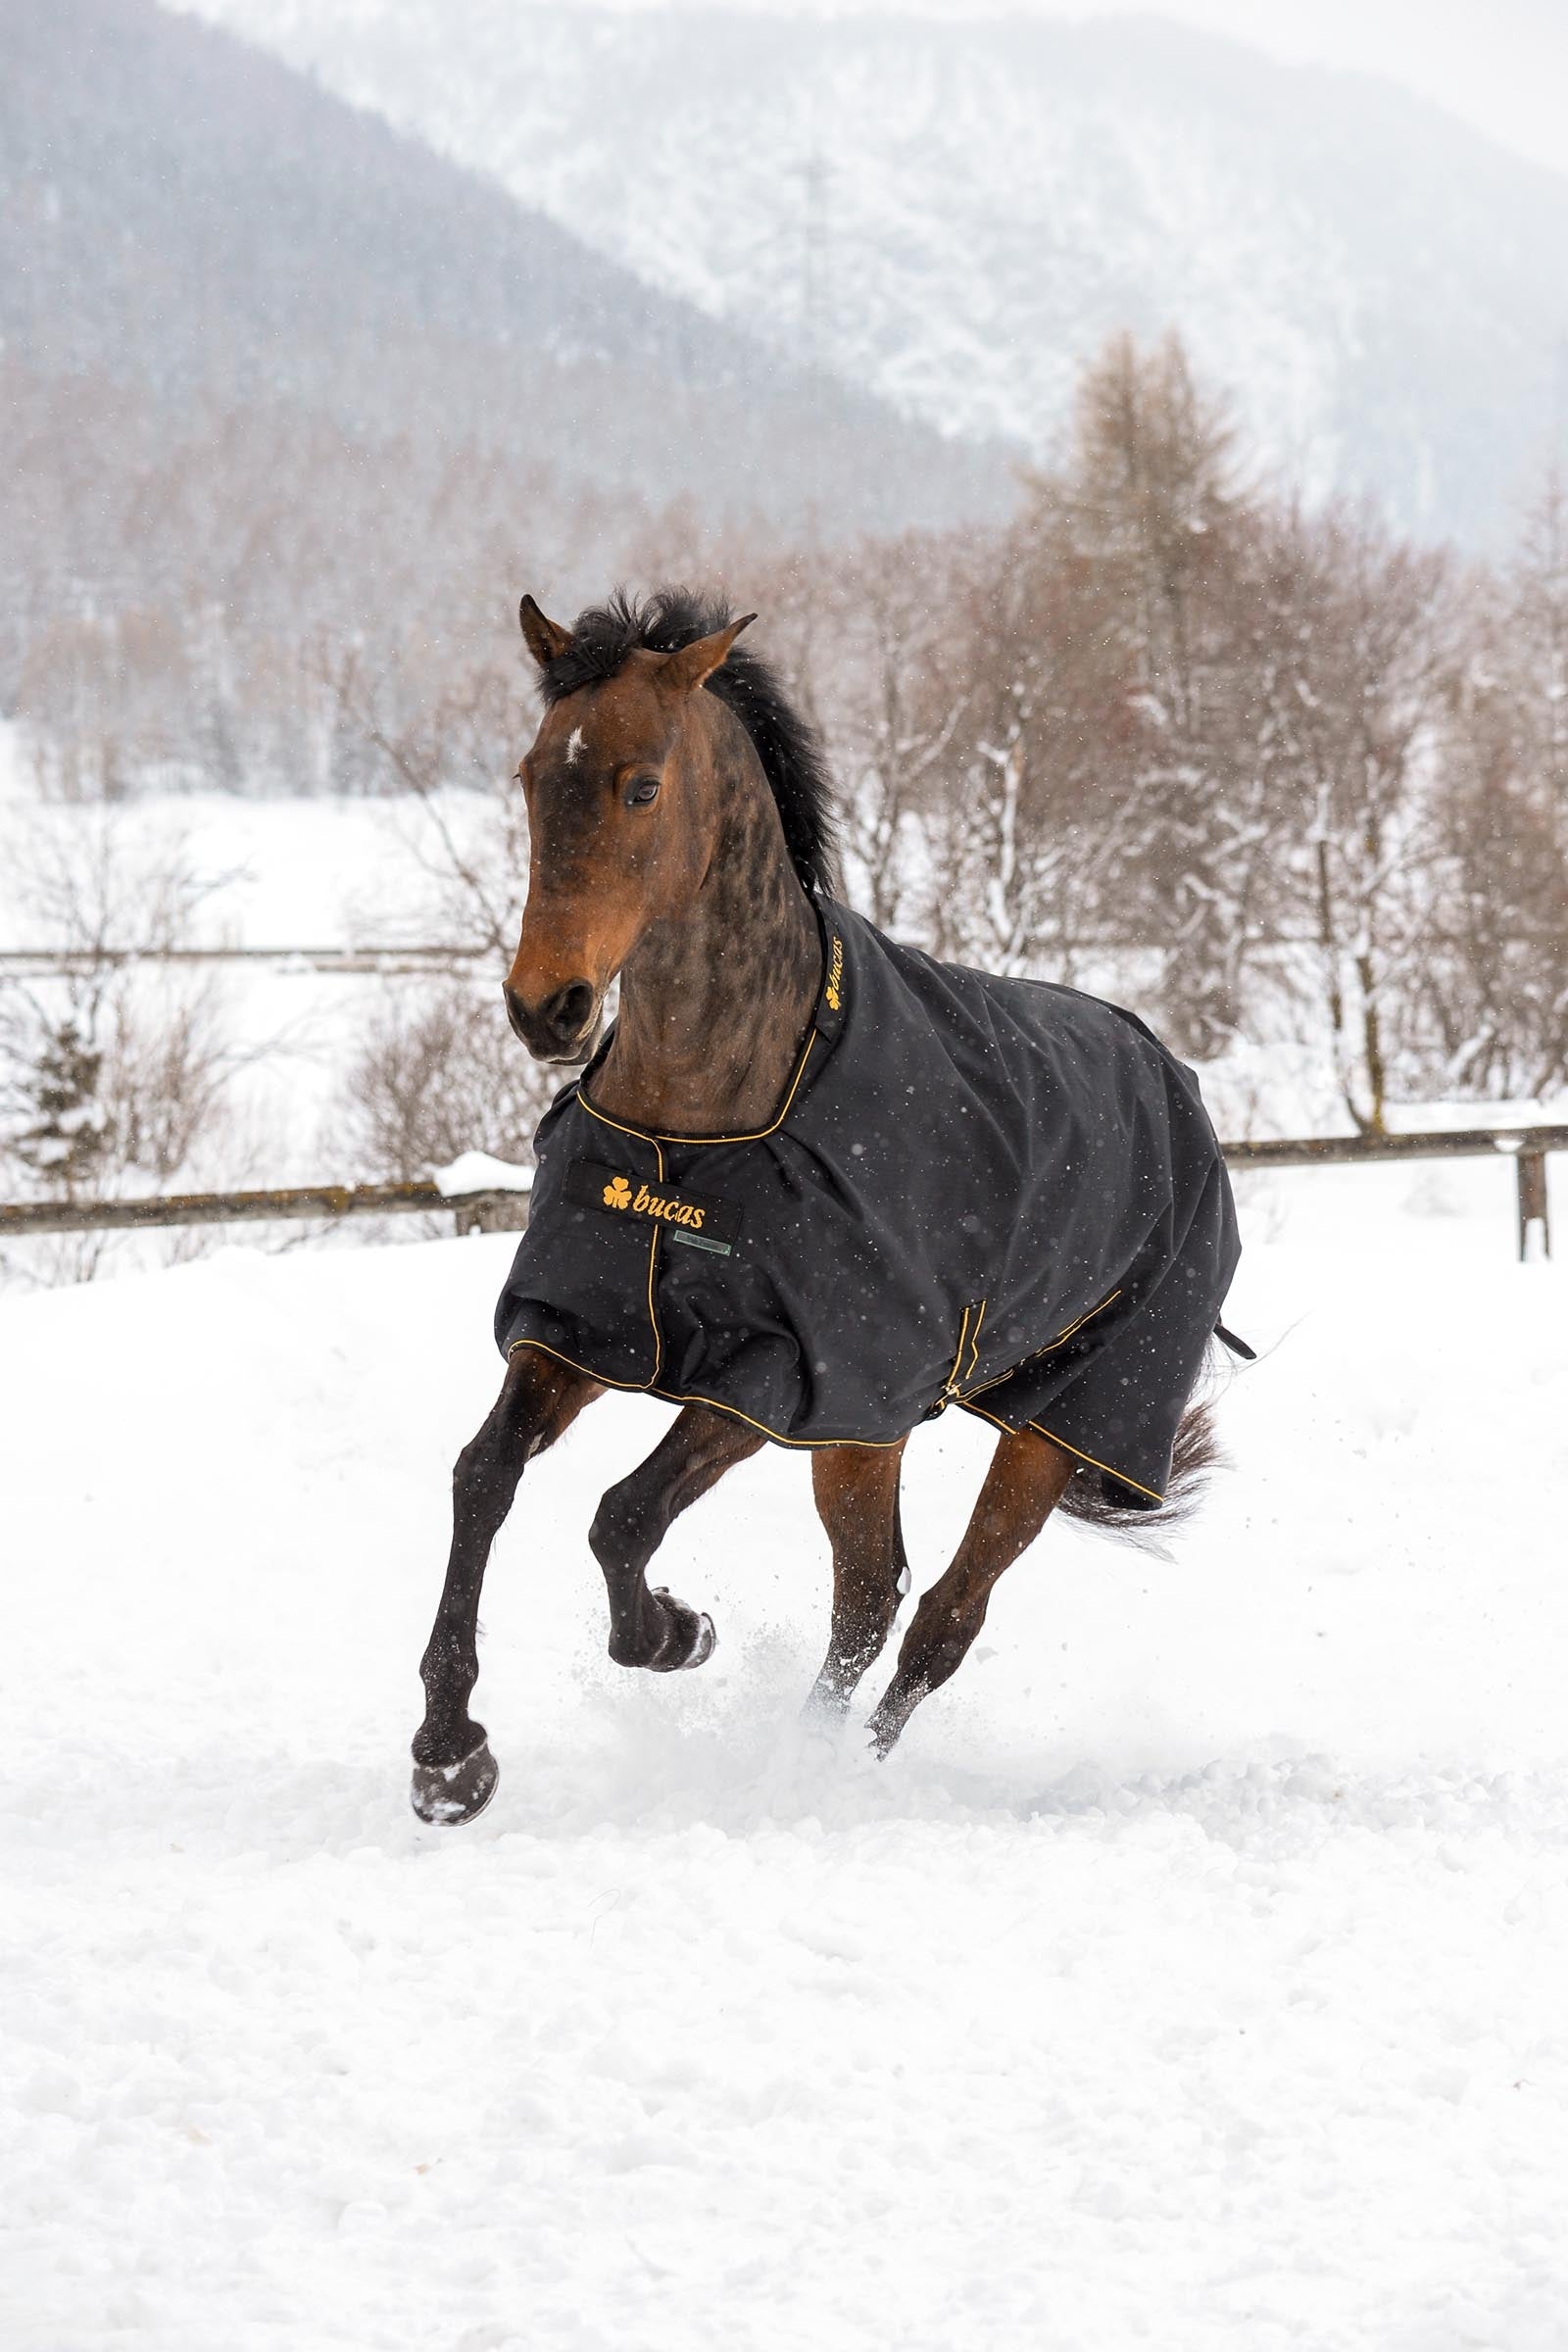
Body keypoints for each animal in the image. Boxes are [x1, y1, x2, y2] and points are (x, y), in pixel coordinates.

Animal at [410, 588, 1243, 1825]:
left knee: (940, 1617)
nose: (544, 1007)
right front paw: (449, 1754)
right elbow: (483, 1478)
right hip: (869, 1430)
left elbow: (621, 1515)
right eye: (528, 775)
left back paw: (820, 1779)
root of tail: (1170, 1078)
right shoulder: (587, 1331)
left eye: (639, 785)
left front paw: (677, 1634)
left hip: (1046, 1425)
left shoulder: (775, 1373)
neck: (701, 1126)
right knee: (869, 1591)